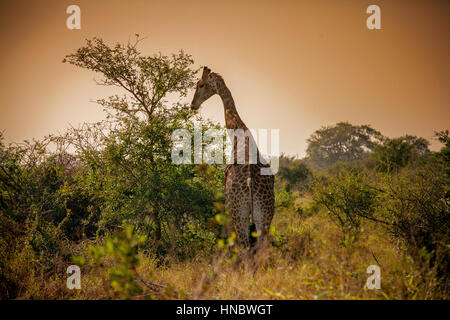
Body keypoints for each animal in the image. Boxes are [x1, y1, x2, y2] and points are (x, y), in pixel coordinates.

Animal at [190, 67, 274, 252]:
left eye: (201, 84)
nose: (193, 105)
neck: (240, 136)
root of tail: (250, 182)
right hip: (264, 215)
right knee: (262, 250)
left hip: (238, 213)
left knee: (245, 249)